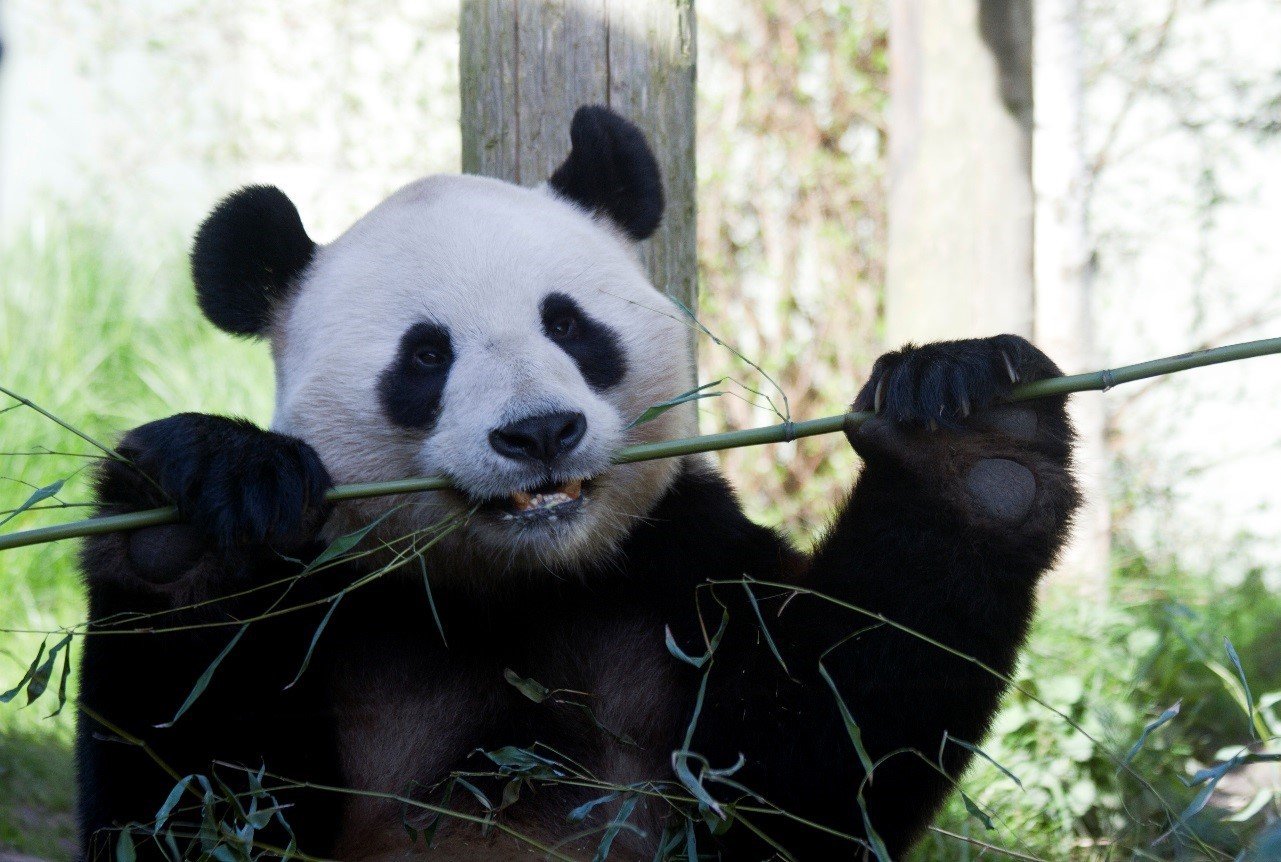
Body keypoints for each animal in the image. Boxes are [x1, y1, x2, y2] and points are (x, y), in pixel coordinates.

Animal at [77, 105, 1078, 861]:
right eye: (426, 355)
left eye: (568, 325)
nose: (538, 433)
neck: (520, 583)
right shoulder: (341, 603)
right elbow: (192, 799)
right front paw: (192, 515)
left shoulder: (677, 573)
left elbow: (815, 767)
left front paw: (970, 432)